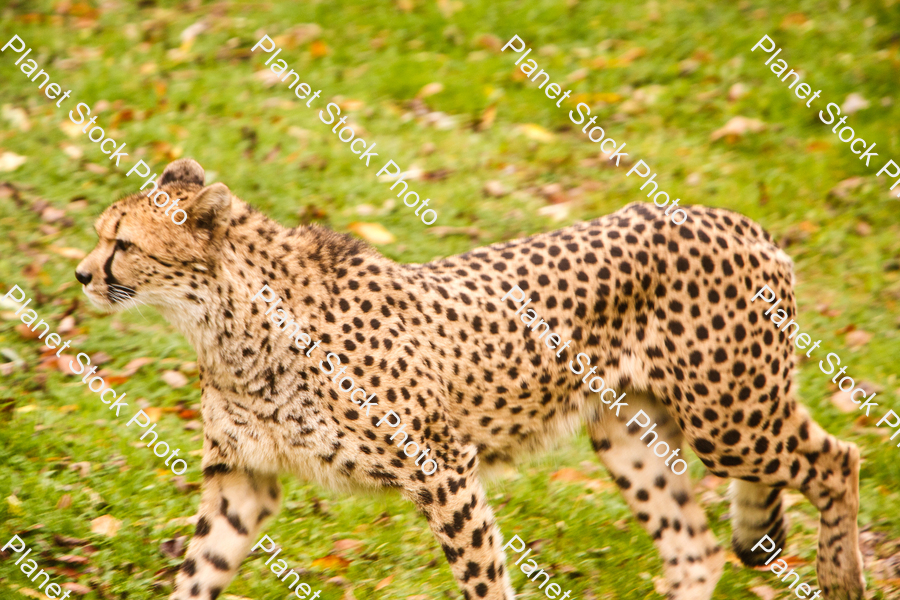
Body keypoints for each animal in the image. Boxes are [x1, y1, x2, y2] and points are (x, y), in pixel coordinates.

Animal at [75, 159, 864, 600]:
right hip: (629, 432)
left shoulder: (443, 467)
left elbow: (482, 575)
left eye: (124, 244)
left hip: (728, 420)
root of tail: (739, 221)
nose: (81, 274)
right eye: (101, 234)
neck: (226, 323)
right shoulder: (244, 477)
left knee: (838, 460)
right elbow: (199, 572)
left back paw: (841, 578)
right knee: (695, 549)